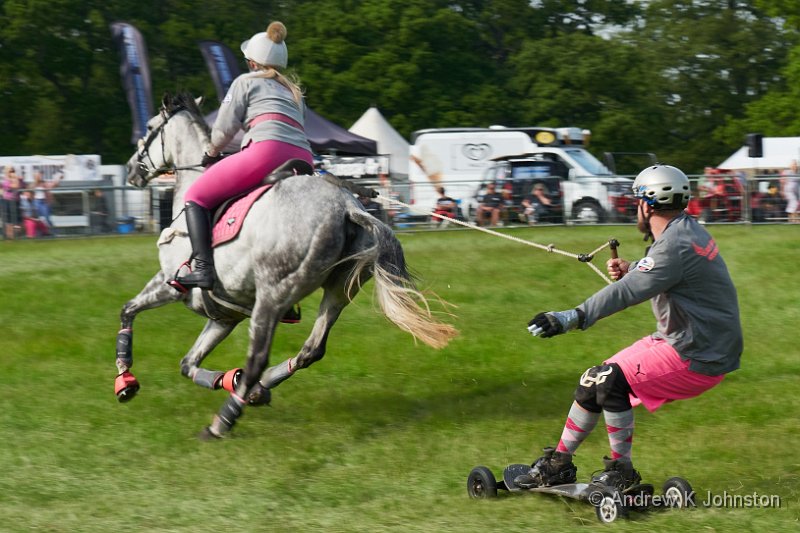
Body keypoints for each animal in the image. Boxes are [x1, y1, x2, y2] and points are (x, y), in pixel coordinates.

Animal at [115, 93, 460, 438]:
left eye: (149, 128)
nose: (131, 169)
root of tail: (348, 207)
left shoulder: (171, 284)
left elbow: (128, 309)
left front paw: (125, 380)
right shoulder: (223, 317)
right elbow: (186, 364)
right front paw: (228, 380)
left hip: (271, 296)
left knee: (257, 359)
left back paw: (222, 422)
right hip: (338, 291)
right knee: (311, 349)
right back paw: (257, 389)